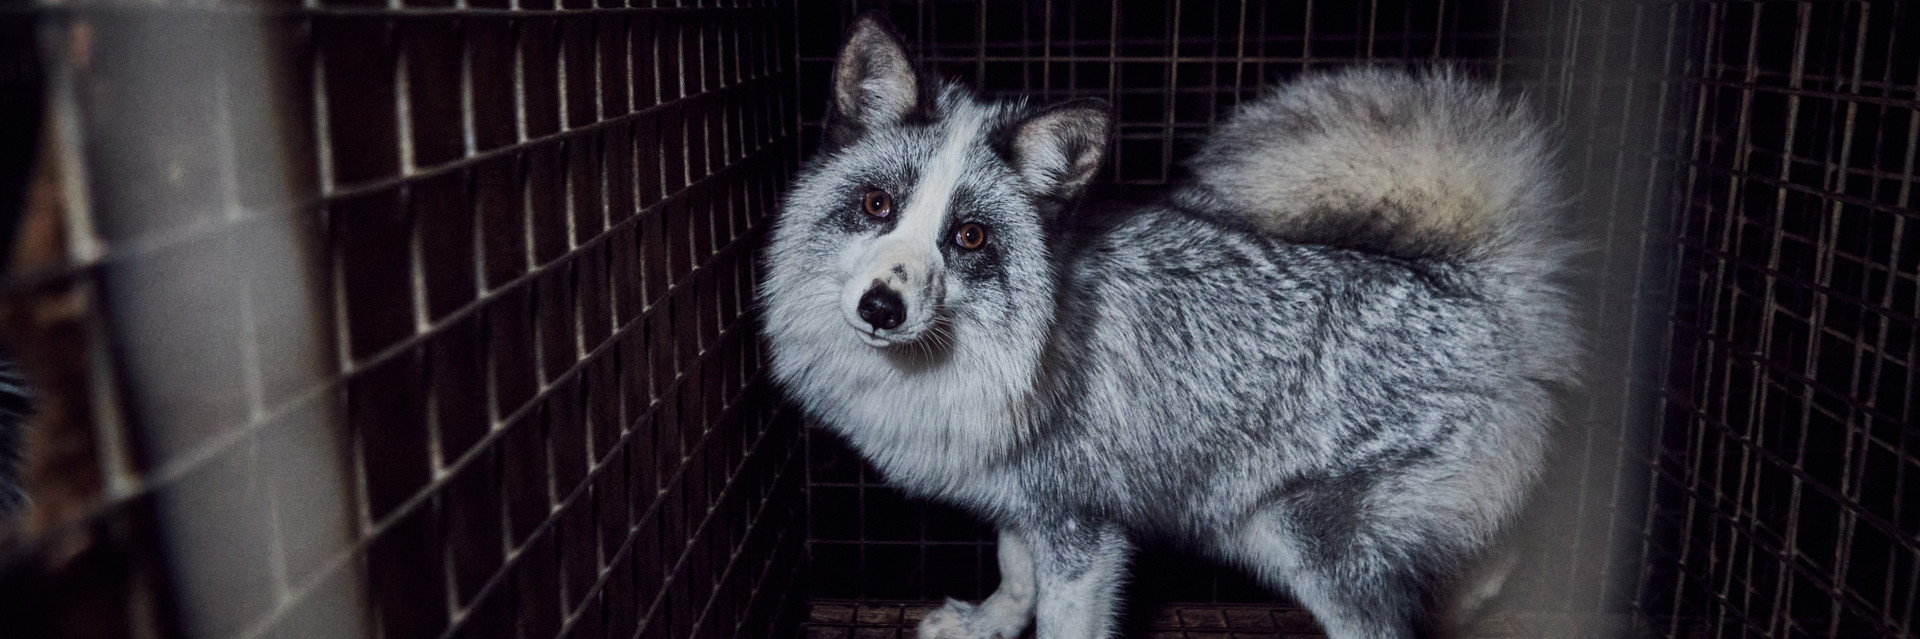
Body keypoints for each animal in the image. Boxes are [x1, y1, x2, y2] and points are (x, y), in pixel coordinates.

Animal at [760, 14, 1577, 639]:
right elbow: (1015, 574)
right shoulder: (1027, 501)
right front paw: (988, 623)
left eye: (968, 237)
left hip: (1307, 540)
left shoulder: (1084, 532)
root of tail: (1487, 285)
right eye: (877, 205)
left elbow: (1062, 618)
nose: (881, 307)